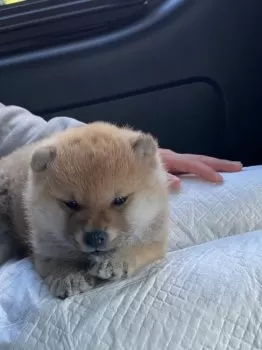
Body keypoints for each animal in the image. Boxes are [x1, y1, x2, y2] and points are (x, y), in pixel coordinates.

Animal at [0, 121, 169, 296]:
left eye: (120, 200)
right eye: (71, 203)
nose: (94, 237)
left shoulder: (154, 238)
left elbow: (137, 247)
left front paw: (114, 261)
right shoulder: (46, 247)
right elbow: (58, 261)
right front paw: (69, 277)